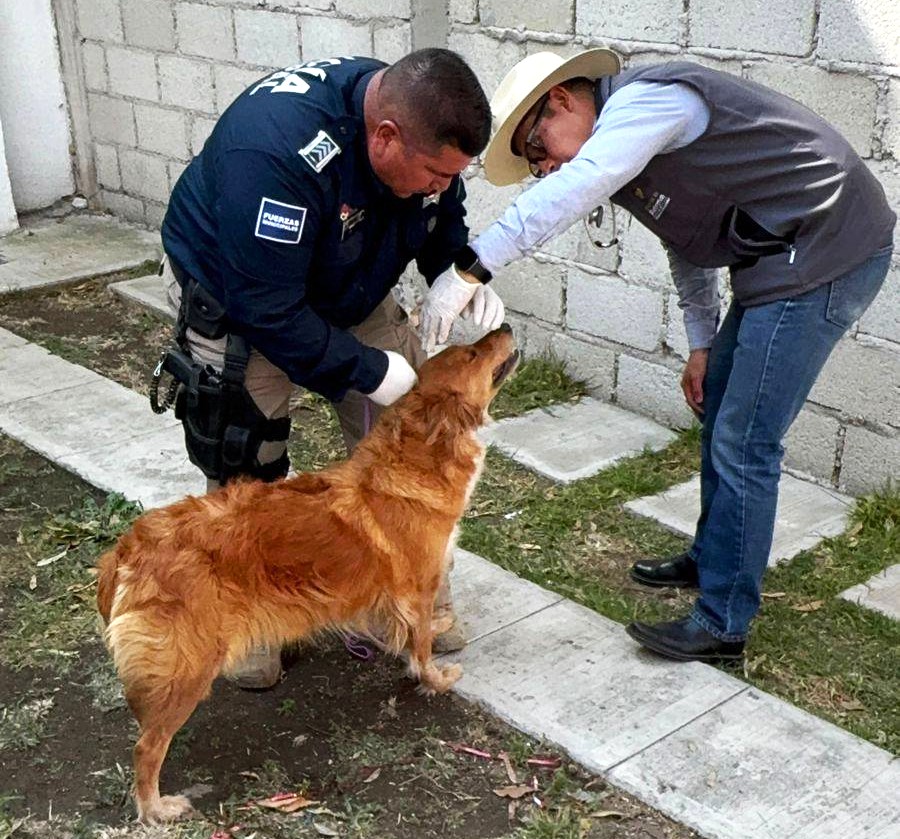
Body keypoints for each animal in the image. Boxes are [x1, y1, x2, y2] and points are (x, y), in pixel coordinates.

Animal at [96, 324, 519, 823]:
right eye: (472, 354)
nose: (506, 327)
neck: (414, 457)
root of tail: (130, 547)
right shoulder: (416, 589)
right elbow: (420, 649)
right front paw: (434, 679)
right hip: (188, 668)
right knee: (146, 747)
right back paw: (156, 808)